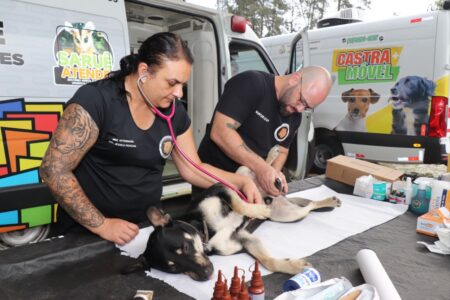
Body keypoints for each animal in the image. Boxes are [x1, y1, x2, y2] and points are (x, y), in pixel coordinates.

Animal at [123, 146, 342, 280]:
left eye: (185, 247)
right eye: (174, 268)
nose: (207, 274)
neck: (205, 229)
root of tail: (278, 196)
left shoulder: (222, 189)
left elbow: (240, 204)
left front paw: (257, 209)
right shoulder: (244, 240)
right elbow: (268, 262)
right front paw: (294, 267)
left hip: (241, 173)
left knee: (261, 168)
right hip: (286, 214)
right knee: (308, 205)